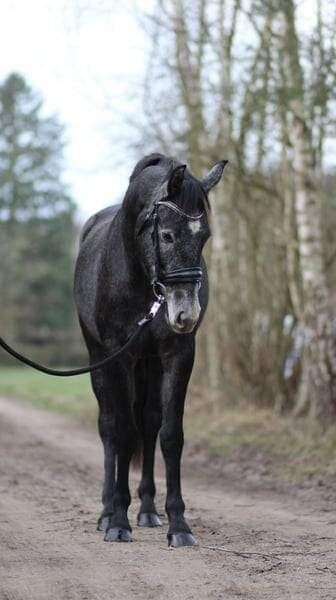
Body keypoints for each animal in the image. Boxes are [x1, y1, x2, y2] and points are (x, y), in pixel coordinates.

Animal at [73, 152, 226, 548]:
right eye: (167, 235)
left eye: (204, 236)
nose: (186, 314)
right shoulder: (118, 357)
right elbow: (123, 433)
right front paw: (117, 522)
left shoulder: (177, 354)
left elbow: (170, 435)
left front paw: (179, 524)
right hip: (100, 361)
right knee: (110, 427)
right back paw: (107, 511)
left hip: (150, 365)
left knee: (148, 422)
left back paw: (147, 510)